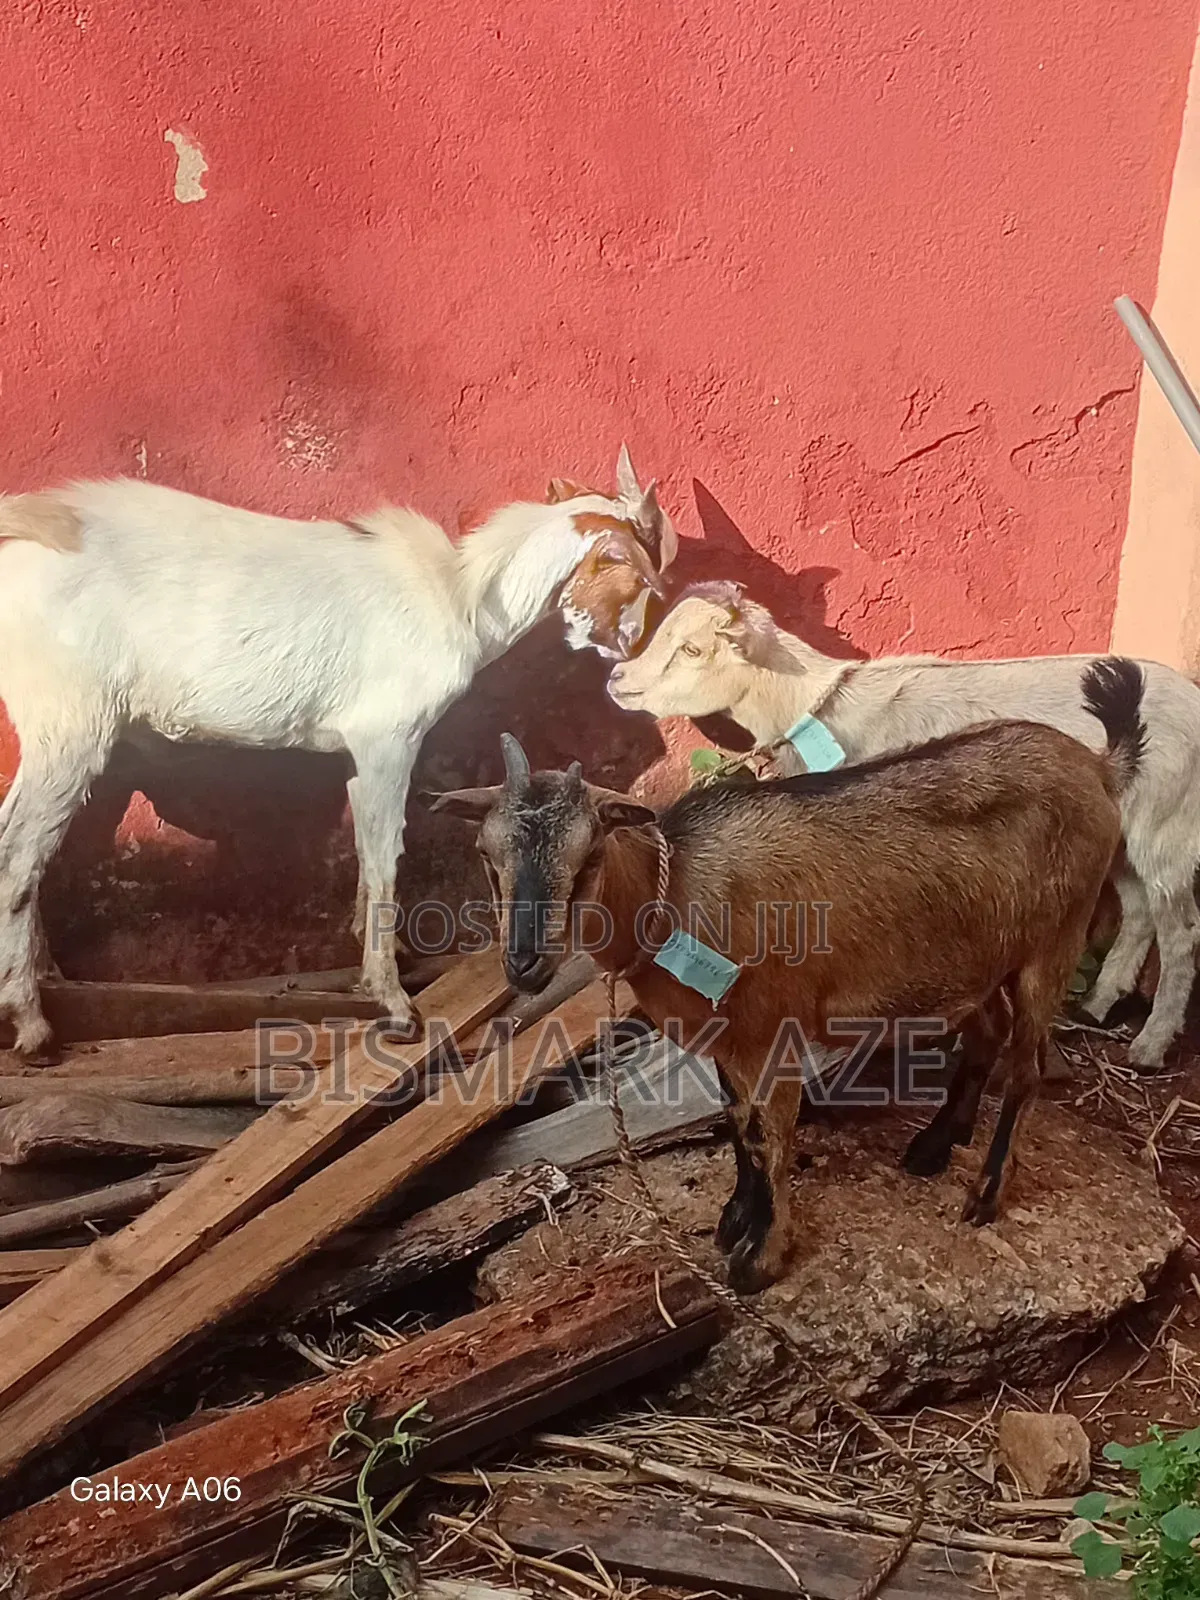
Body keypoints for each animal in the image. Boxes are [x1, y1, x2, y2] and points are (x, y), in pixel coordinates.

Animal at [0, 447, 675, 1062]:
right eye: (637, 576)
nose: (628, 652)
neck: (465, 598)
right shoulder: (389, 735)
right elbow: (384, 853)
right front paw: (393, 1002)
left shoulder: (361, 750)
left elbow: (365, 848)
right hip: (71, 721)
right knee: (19, 856)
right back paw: (33, 1027)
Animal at [426, 661, 1143, 1290]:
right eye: (487, 854)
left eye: (591, 855)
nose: (524, 964)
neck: (673, 895)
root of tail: (1097, 767)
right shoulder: (727, 1039)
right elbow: (738, 1125)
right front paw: (736, 1218)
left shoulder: (771, 1034)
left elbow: (768, 1137)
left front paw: (760, 1259)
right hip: (983, 951)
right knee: (987, 1030)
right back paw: (936, 1145)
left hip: (1056, 940)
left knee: (1026, 1067)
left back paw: (987, 1192)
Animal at [608, 584, 1200, 1071]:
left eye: (692, 649)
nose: (617, 679)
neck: (814, 709)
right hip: (1123, 833)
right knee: (1139, 913)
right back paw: (1098, 1005)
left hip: (1167, 827)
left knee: (1181, 932)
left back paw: (1150, 1045)